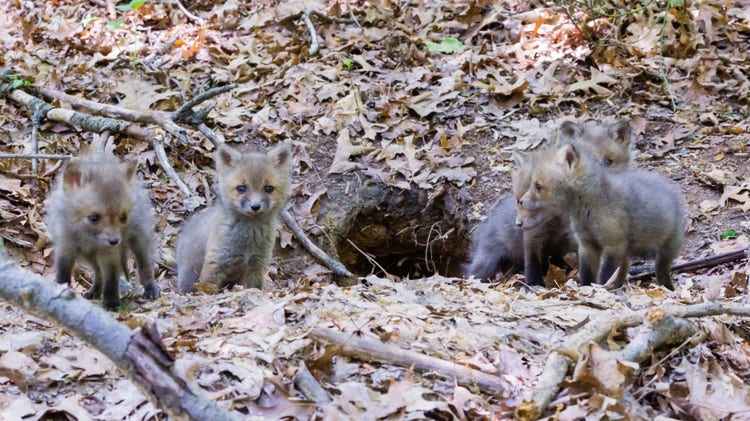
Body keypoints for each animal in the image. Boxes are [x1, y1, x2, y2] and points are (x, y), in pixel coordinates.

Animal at [47, 157, 159, 311]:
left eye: (123, 217)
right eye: (93, 218)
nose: (115, 241)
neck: (87, 239)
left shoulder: (110, 255)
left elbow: (111, 280)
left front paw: (111, 302)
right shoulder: (65, 248)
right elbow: (63, 275)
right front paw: (60, 290)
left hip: (140, 242)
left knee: (145, 267)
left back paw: (151, 289)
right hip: (91, 258)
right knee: (99, 274)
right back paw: (95, 292)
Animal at [176, 143, 292, 293]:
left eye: (269, 189)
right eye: (241, 188)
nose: (255, 206)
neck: (248, 239)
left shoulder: (255, 266)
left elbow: (252, 288)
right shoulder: (216, 262)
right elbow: (208, 289)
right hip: (189, 275)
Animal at [465, 120, 634, 285]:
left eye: (608, 161)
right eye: (520, 201)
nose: (519, 223)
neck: (557, 223)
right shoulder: (533, 236)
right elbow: (533, 265)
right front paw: (534, 285)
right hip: (487, 260)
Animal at [515, 141, 684, 290]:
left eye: (538, 186)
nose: (521, 201)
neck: (588, 211)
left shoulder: (613, 244)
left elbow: (606, 275)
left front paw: (601, 289)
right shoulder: (587, 244)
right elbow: (587, 273)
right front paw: (587, 288)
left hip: (667, 249)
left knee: (661, 270)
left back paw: (668, 288)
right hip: (626, 253)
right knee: (622, 272)